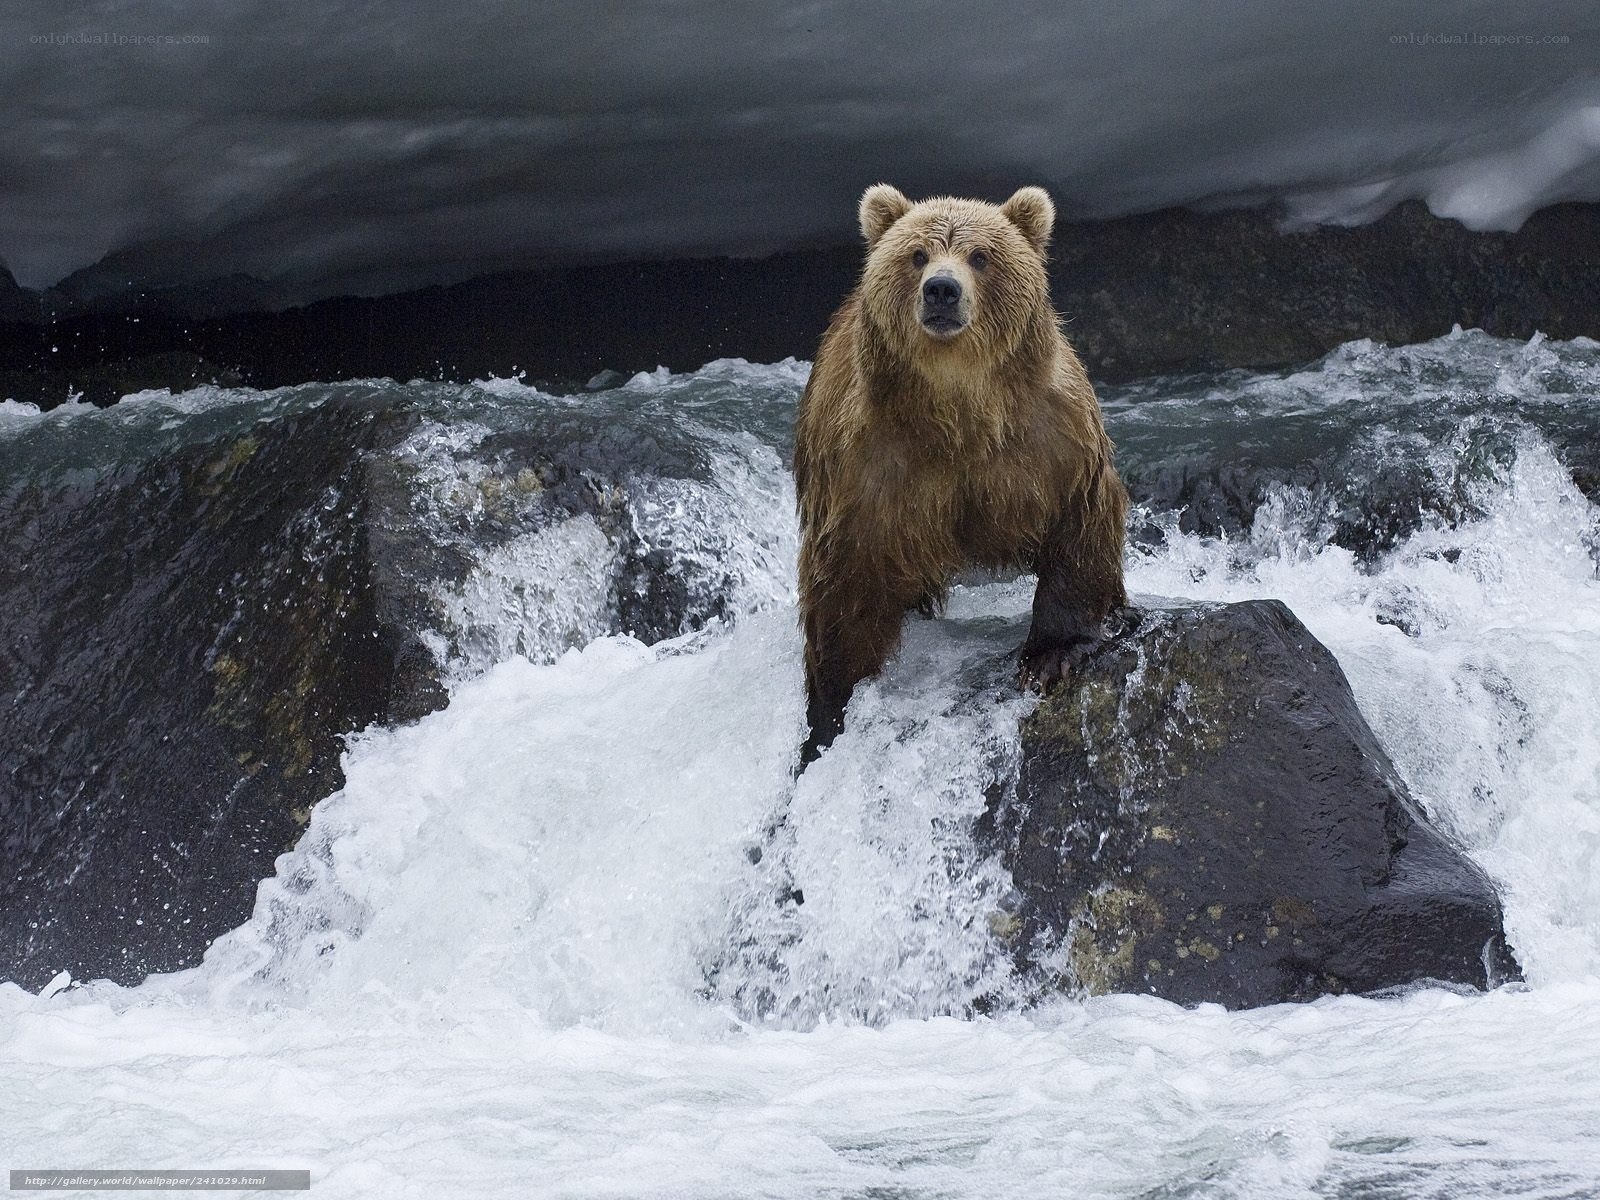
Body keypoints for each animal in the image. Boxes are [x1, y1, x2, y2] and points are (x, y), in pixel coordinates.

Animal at [795, 183, 1128, 765]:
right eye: (917, 254)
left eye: (980, 256)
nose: (942, 291)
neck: (958, 408)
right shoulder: (868, 465)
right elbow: (844, 581)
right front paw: (830, 709)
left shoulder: (1049, 437)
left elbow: (1079, 523)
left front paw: (1052, 655)